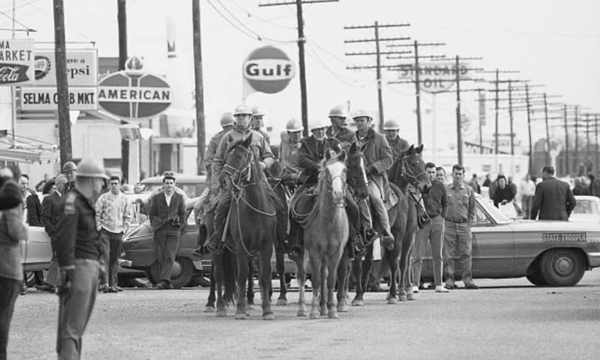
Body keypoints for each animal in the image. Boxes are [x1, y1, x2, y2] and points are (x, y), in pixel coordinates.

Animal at [216, 135, 282, 320]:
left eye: (240, 156)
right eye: (226, 156)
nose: (223, 180)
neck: (255, 208)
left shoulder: (266, 247)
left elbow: (264, 277)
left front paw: (267, 310)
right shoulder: (241, 246)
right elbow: (242, 277)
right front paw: (240, 310)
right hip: (218, 249)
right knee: (219, 275)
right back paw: (219, 307)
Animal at [296, 150, 352, 320]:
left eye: (344, 170)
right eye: (327, 170)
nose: (338, 194)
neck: (329, 221)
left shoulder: (336, 252)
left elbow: (331, 279)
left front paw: (332, 309)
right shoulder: (314, 251)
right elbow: (315, 280)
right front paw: (314, 311)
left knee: (324, 274)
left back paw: (324, 308)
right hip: (302, 251)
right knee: (302, 275)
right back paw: (302, 308)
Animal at [350, 143, 428, 304]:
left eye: (423, 164)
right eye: (413, 164)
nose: (426, 186)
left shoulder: (405, 237)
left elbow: (399, 263)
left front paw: (398, 293)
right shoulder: (364, 240)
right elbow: (362, 265)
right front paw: (359, 295)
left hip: (404, 238)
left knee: (402, 262)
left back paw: (402, 292)